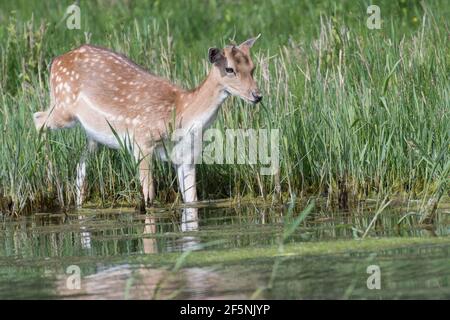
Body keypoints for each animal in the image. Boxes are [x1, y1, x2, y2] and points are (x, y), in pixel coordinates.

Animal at [33, 35, 262, 210]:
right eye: (230, 69)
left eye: (253, 66)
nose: (257, 95)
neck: (181, 112)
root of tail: (56, 60)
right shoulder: (142, 142)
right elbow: (149, 198)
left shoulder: (187, 155)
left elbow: (192, 200)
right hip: (63, 108)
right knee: (37, 119)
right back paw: (49, 175)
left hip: (92, 134)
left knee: (81, 163)